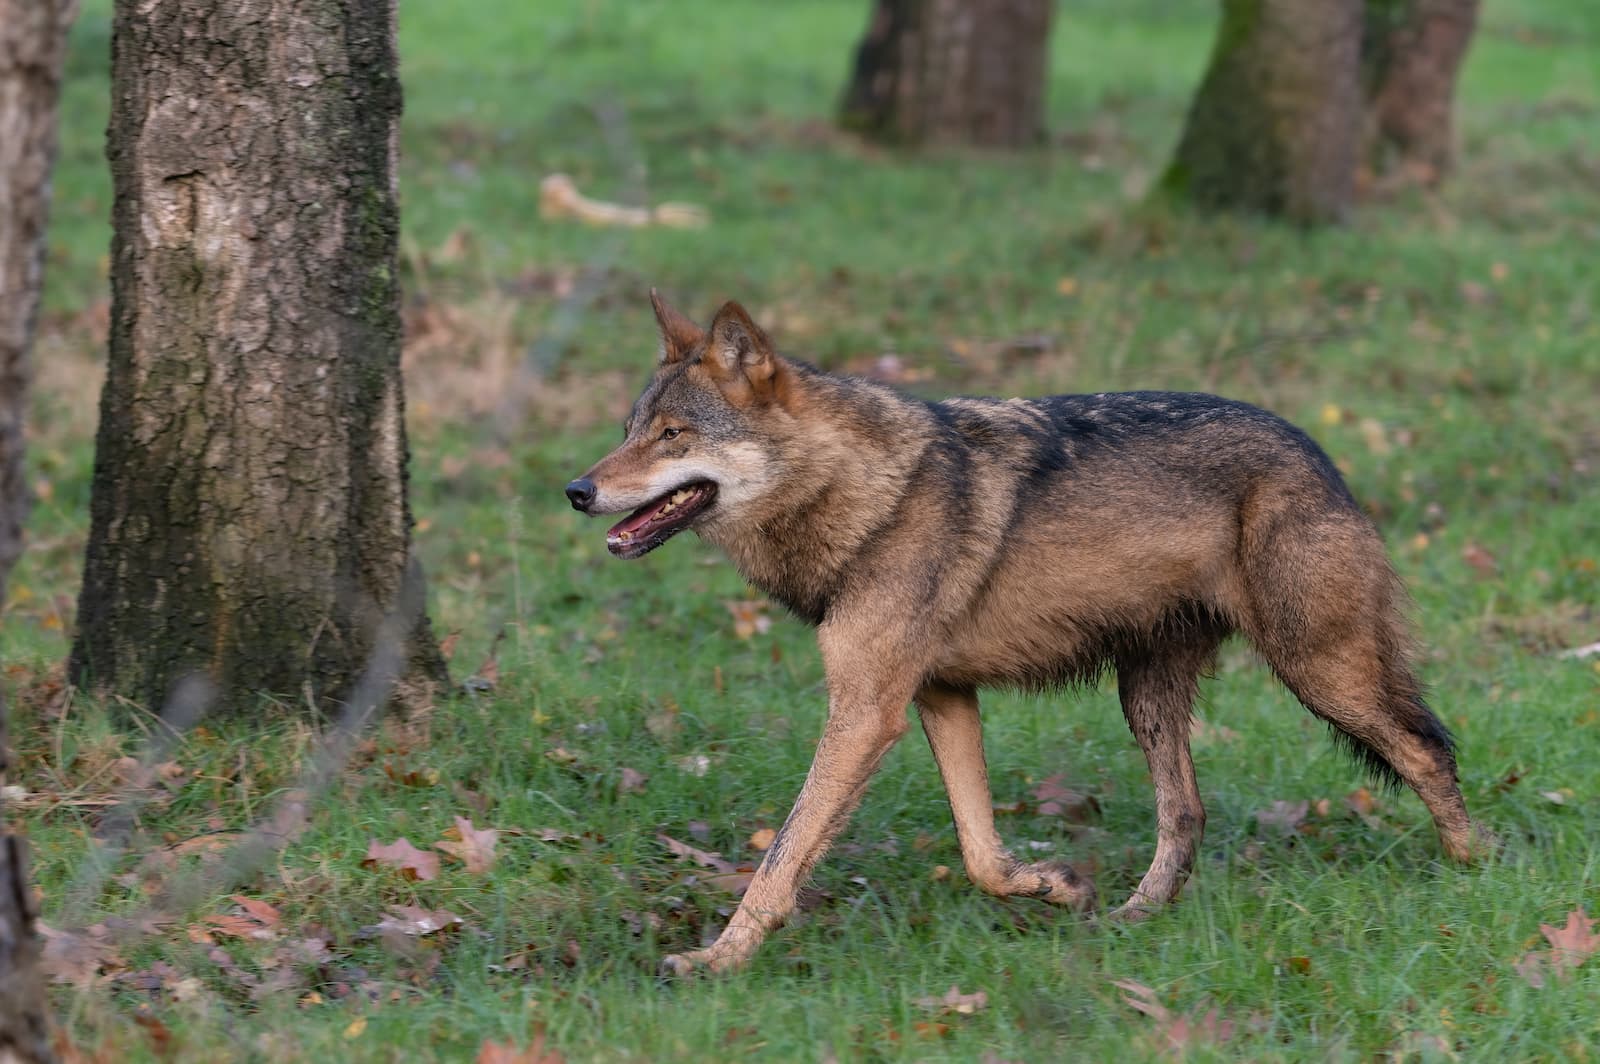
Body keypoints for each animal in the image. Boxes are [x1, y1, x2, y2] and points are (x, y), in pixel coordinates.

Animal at [566, 292, 1489, 975]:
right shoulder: (940, 698)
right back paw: (1131, 916)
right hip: (1147, 698)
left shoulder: (866, 712)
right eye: (628, 430)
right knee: (1186, 813)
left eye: (673, 436)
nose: (577, 490)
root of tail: (1319, 453)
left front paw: (716, 960)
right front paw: (1057, 888)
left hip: (1320, 674)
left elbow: (781, 858)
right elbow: (982, 854)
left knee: (1428, 750)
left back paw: (1475, 874)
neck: (866, 497)